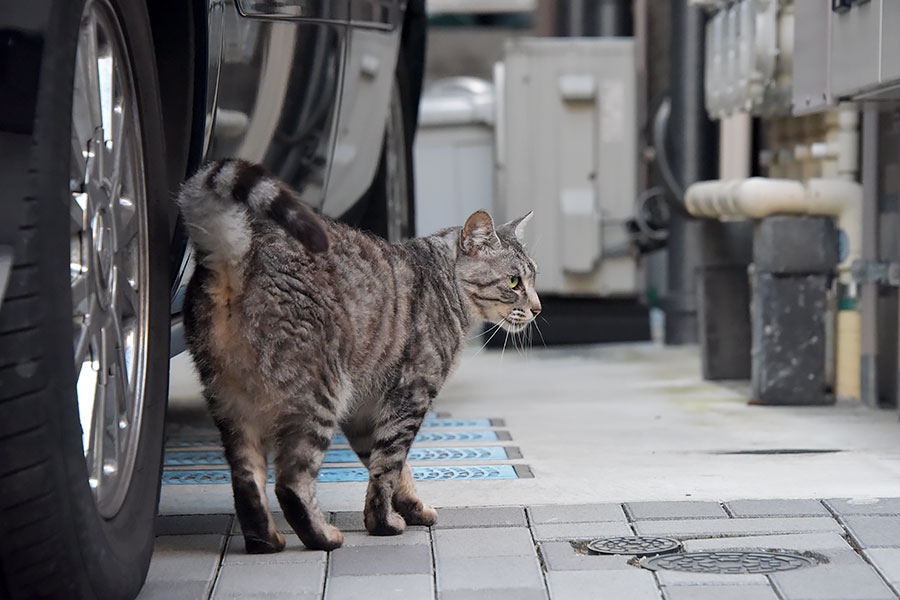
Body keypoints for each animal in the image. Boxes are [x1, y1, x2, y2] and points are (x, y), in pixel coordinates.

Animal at [179, 161, 536, 552]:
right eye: (514, 282)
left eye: (534, 278)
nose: (538, 307)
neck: (443, 283)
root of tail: (240, 251)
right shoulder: (411, 392)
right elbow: (389, 465)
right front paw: (383, 523)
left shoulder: (365, 408)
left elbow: (394, 466)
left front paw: (410, 507)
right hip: (318, 395)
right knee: (291, 482)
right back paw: (323, 536)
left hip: (231, 400)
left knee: (246, 478)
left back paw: (266, 540)